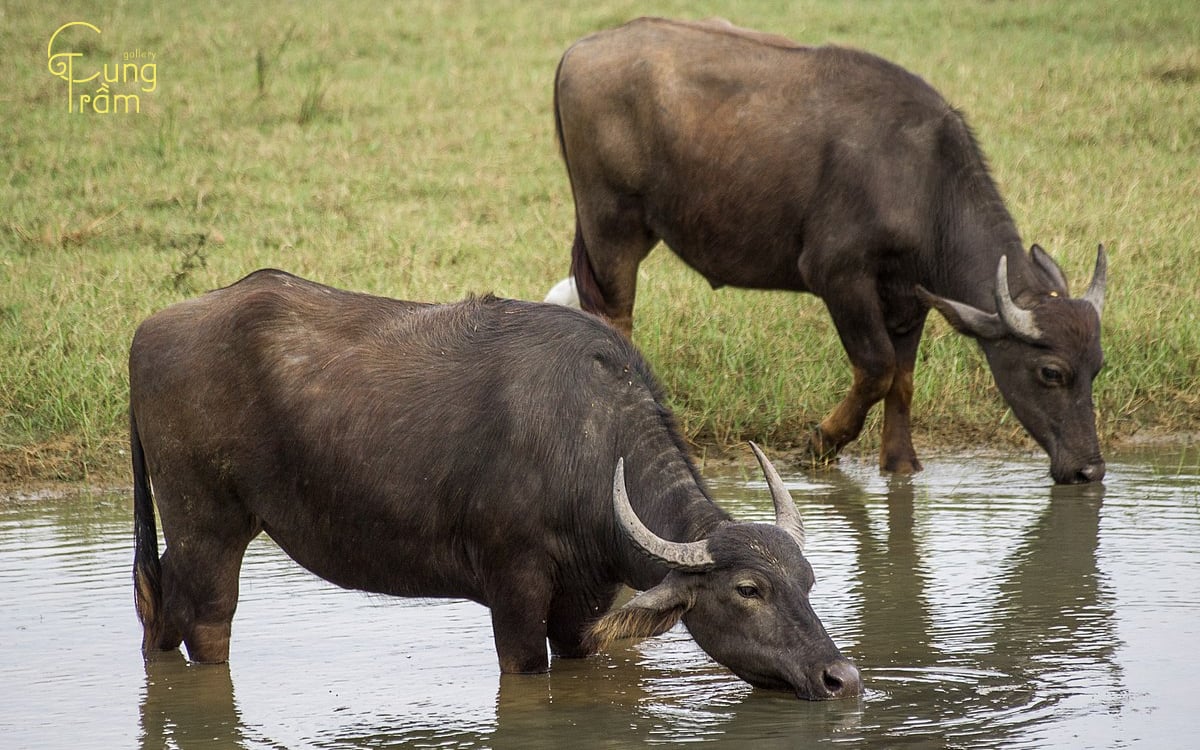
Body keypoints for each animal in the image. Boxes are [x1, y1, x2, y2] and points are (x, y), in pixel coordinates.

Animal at [131, 270, 864, 700]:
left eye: (807, 582)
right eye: (748, 590)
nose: (842, 677)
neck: (587, 447)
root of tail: (150, 329)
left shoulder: (583, 606)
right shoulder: (514, 592)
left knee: (158, 604)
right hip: (209, 526)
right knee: (206, 621)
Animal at [552, 20, 1104, 484]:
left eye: (1097, 367)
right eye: (1051, 372)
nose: (1090, 470)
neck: (925, 182)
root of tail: (581, 49)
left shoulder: (910, 297)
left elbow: (902, 380)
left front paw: (900, 463)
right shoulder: (839, 277)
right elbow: (877, 368)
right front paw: (821, 443)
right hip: (611, 225)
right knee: (615, 318)